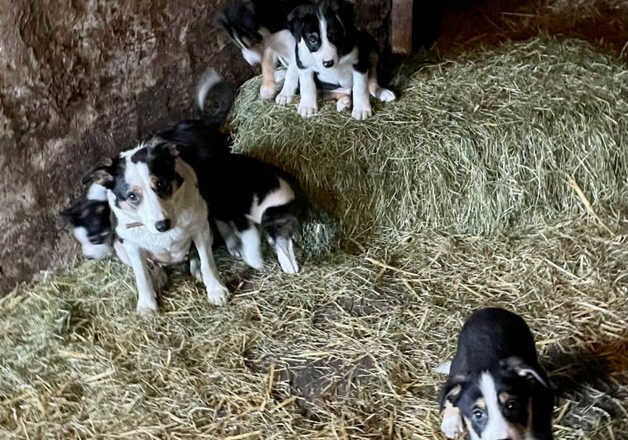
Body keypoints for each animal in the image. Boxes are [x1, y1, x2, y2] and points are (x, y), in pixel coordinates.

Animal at [161, 118, 300, 274]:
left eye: (289, 221)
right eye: (279, 224)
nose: (292, 230)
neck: (263, 197)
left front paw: (290, 267)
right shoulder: (239, 213)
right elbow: (251, 235)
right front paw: (257, 264)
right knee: (221, 222)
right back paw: (235, 249)